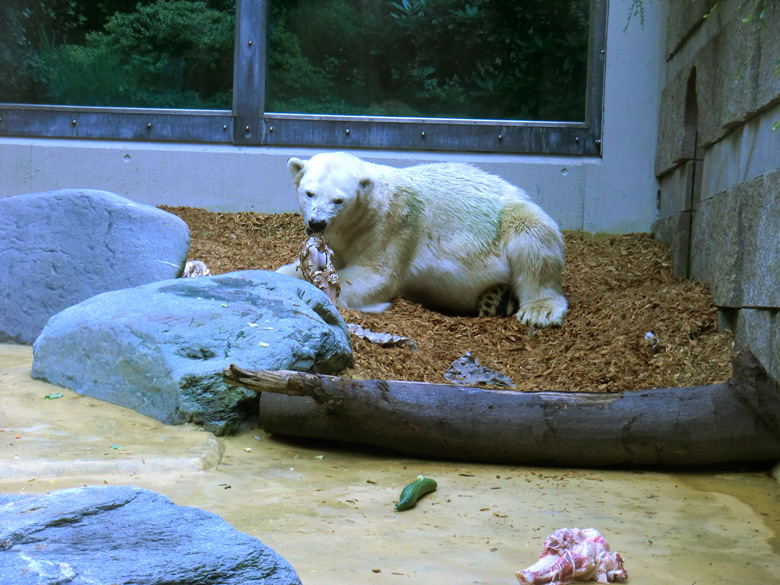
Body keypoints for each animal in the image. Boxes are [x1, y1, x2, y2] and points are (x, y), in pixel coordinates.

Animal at [276, 151, 568, 326]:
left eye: (339, 199)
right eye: (309, 193)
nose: (317, 223)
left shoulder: (390, 228)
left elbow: (375, 276)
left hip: (510, 218)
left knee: (532, 238)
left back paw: (538, 310)